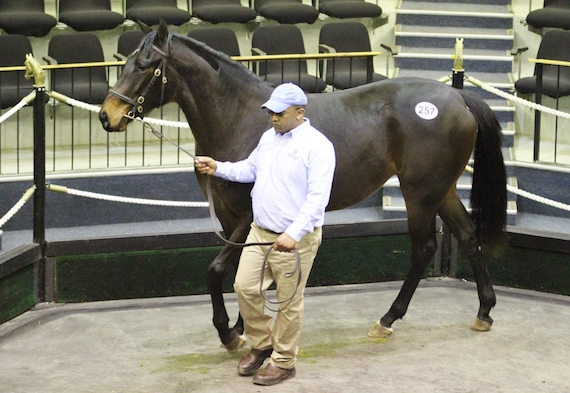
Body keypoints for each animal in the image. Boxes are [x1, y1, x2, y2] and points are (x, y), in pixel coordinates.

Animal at [98, 21, 506, 352]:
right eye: (126, 63)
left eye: (146, 66)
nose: (107, 116)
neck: (238, 118)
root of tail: (458, 97)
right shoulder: (232, 219)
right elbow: (247, 273)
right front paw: (246, 326)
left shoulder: (247, 217)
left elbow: (217, 271)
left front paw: (229, 333)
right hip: (442, 190)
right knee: (469, 235)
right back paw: (484, 311)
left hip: (419, 194)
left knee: (424, 249)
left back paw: (387, 319)